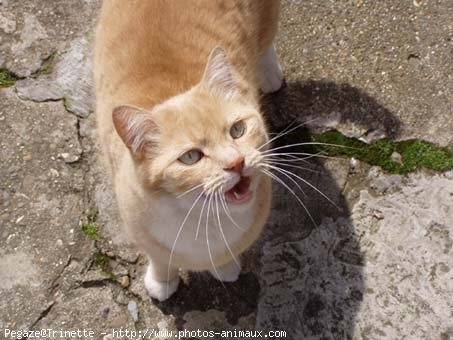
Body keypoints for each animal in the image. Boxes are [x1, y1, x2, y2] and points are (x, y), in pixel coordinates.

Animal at [93, 1, 280, 302]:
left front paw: (225, 267)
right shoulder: (142, 230)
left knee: (266, 43)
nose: (237, 162)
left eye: (237, 130)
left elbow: (226, 253)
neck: (203, 218)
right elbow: (160, 260)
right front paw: (162, 281)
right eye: (191, 157)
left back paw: (270, 72)